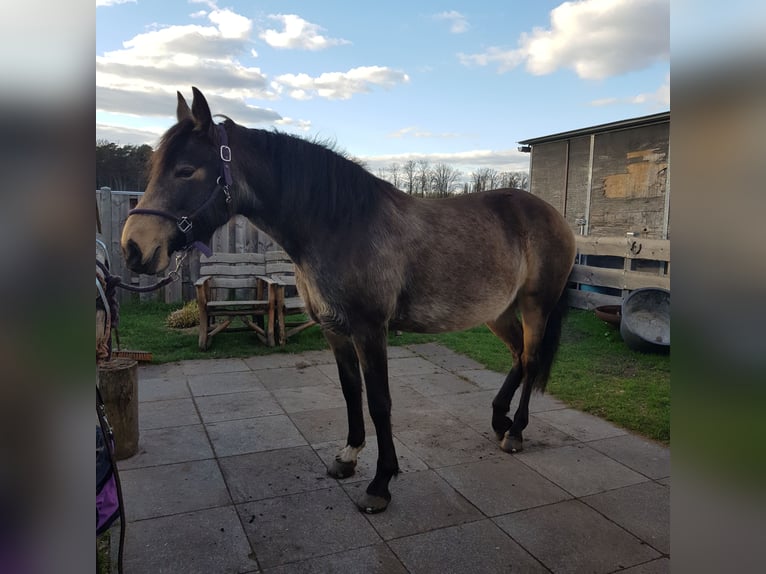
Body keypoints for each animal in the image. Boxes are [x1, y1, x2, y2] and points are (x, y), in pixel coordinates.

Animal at [121, 88, 576, 516]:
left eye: (185, 170)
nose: (133, 248)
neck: (340, 224)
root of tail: (552, 214)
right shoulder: (334, 327)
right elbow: (350, 390)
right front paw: (348, 456)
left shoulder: (370, 329)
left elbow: (379, 402)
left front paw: (381, 483)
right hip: (497, 311)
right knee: (519, 357)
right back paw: (499, 419)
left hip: (535, 306)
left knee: (531, 359)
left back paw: (515, 431)